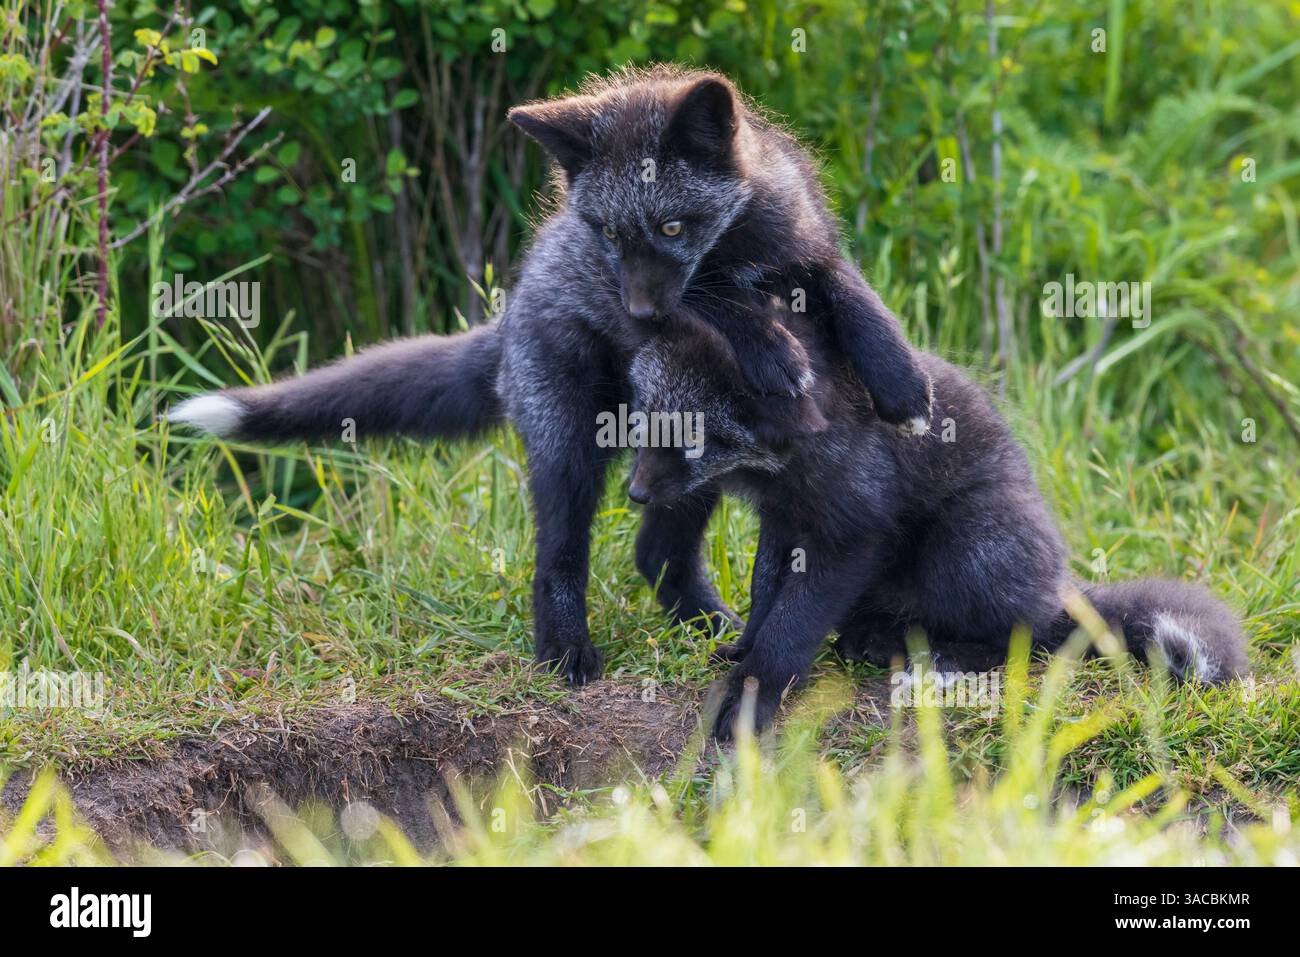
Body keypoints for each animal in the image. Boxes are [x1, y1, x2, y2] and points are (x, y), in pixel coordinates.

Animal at [168, 65, 934, 684]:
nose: (641, 313)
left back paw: (708, 624)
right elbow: (719, 301)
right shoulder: (682, 299)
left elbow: (851, 293)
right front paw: (772, 346)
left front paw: (902, 382)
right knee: (560, 557)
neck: (738, 245)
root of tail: (508, 322)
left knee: (655, 553)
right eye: (609, 235)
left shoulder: (803, 243)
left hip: (683, 459)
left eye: (674, 226)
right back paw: (566, 653)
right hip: (574, 448)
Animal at [625, 312, 1250, 740]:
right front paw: (742, 651)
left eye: (690, 438)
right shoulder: (783, 520)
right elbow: (763, 597)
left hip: (964, 543)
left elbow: (793, 622)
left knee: (1026, 635)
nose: (634, 493)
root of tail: (1061, 583)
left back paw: (943, 660)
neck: (783, 460)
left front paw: (755, 690)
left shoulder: (851, 532)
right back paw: (881, 642)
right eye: (645, 421)